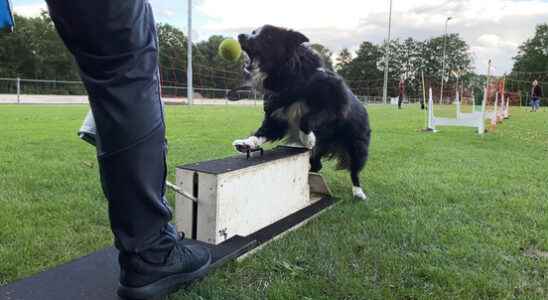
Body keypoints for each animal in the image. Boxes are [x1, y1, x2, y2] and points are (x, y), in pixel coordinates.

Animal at [231, 24, 372, 200]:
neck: (289, 74)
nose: (240, 36)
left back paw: (358, 192)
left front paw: (308, 139)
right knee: (317, 165)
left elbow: (306, 119)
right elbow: (262, 131)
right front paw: (247, 143)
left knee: (354, 169)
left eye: (268, 37)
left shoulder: (335, 104)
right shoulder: (276, 115)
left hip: (357, 145)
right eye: (253, 32)